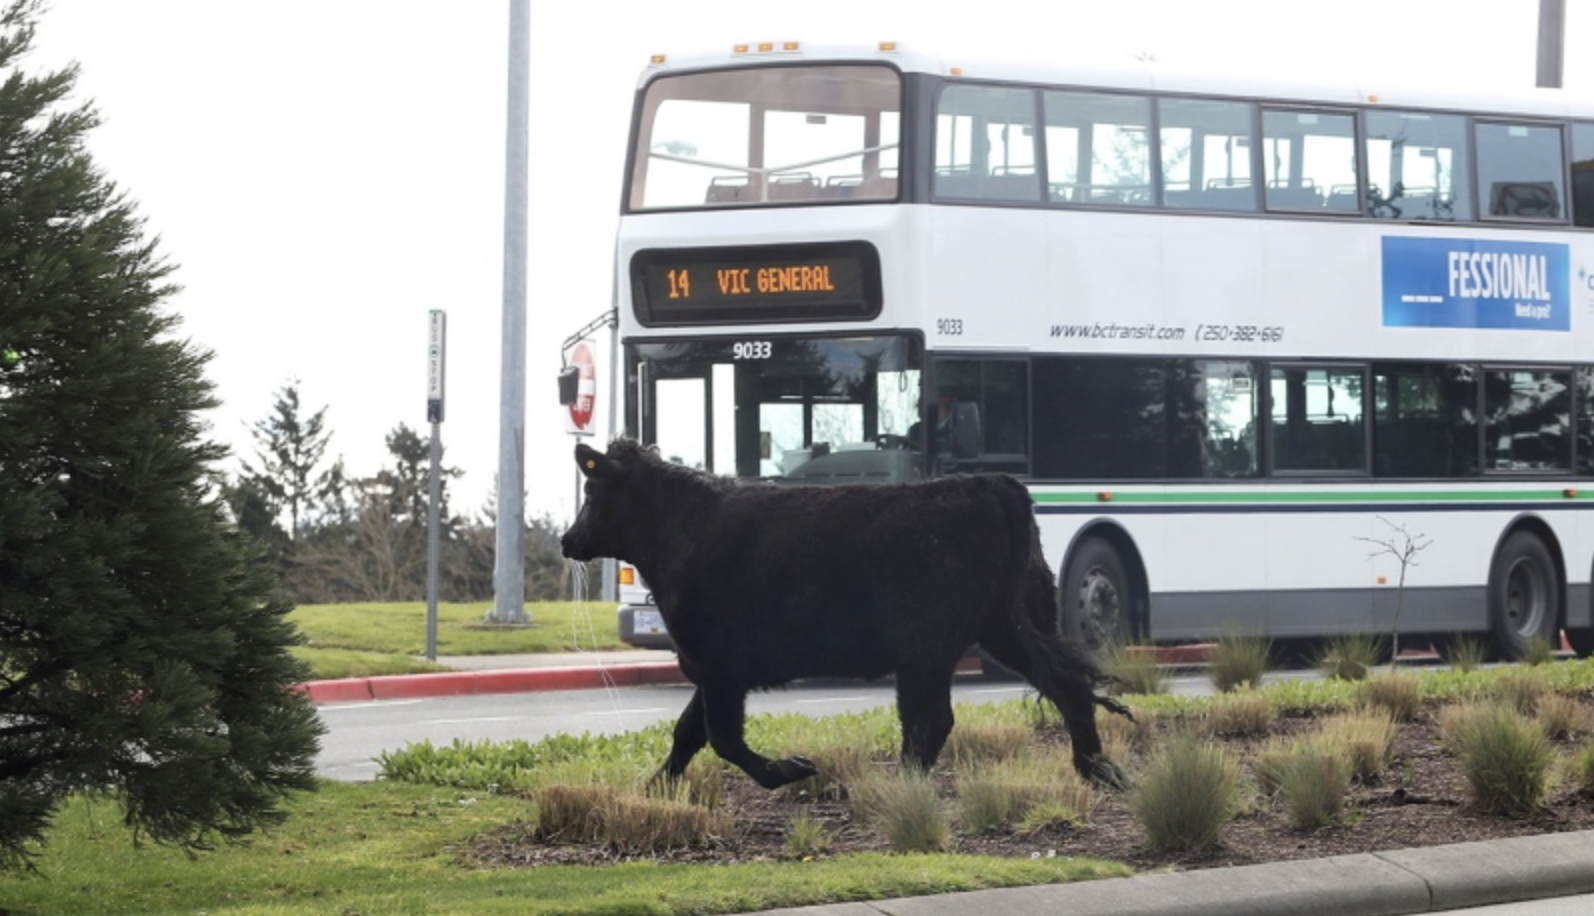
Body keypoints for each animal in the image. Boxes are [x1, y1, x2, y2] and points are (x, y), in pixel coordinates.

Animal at [560, 438, 1129, 790]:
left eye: (591, 489)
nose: (567, 539)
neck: (682, 528)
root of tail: (991, 483)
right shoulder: (711, 669)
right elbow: (688, 733)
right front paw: (656, 788)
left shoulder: (718, 665)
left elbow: (722, 738)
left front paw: (788, 770)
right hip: (992, 631)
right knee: (1062, 686)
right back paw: (1097, 768)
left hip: (933, 644)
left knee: (934, 719)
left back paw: (903, 787)